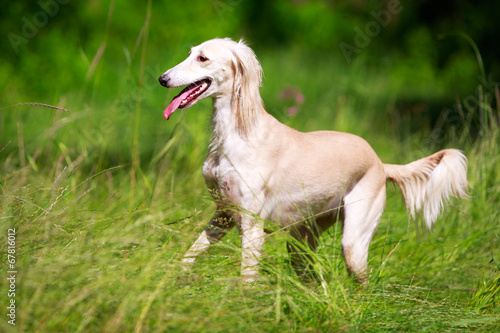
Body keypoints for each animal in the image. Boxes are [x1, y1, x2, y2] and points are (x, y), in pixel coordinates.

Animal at [157, 37, 468, 282]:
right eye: (190, 53)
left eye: (202, 58)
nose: (162, 79)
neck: (236, 135)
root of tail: (380, 163)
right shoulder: (222, 215)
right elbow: (189, 255)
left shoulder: (252, 226)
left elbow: (246, 280)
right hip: (302, 241)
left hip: (353, 244)